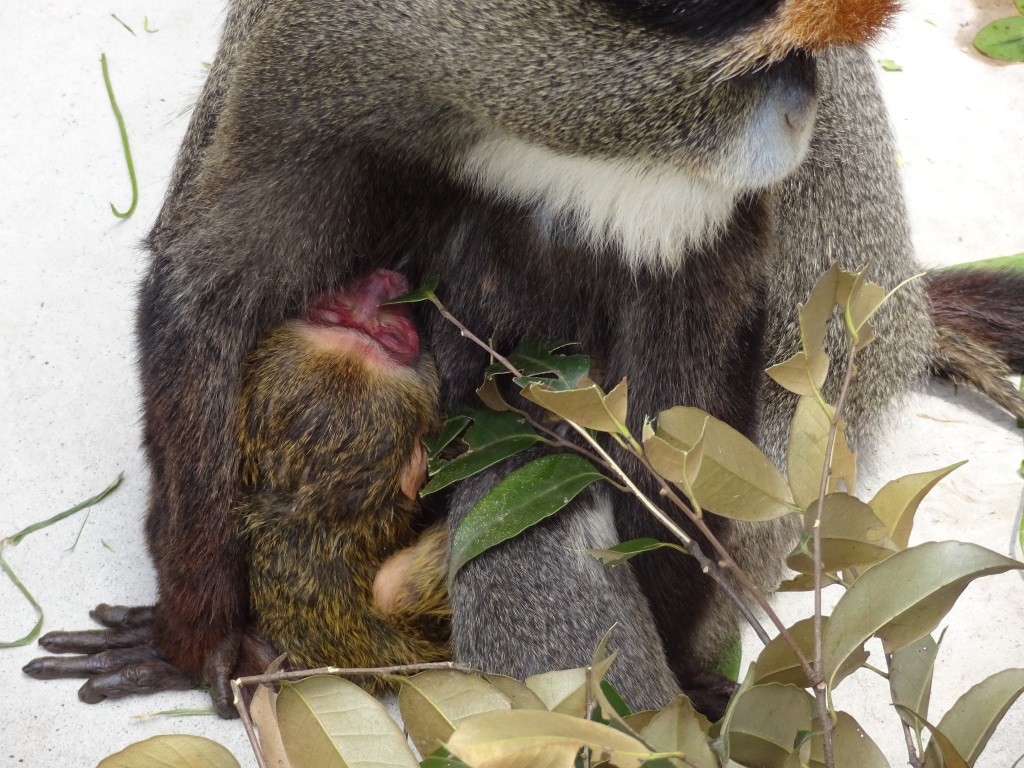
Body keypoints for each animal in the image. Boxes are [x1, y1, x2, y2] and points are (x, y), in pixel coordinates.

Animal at [24, 0, 1015, 720]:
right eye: (765, 59)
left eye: (809, 52)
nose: (802, 93)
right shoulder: (319, 46)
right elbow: (208, 283)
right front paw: (201, 639)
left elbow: (681, 429)